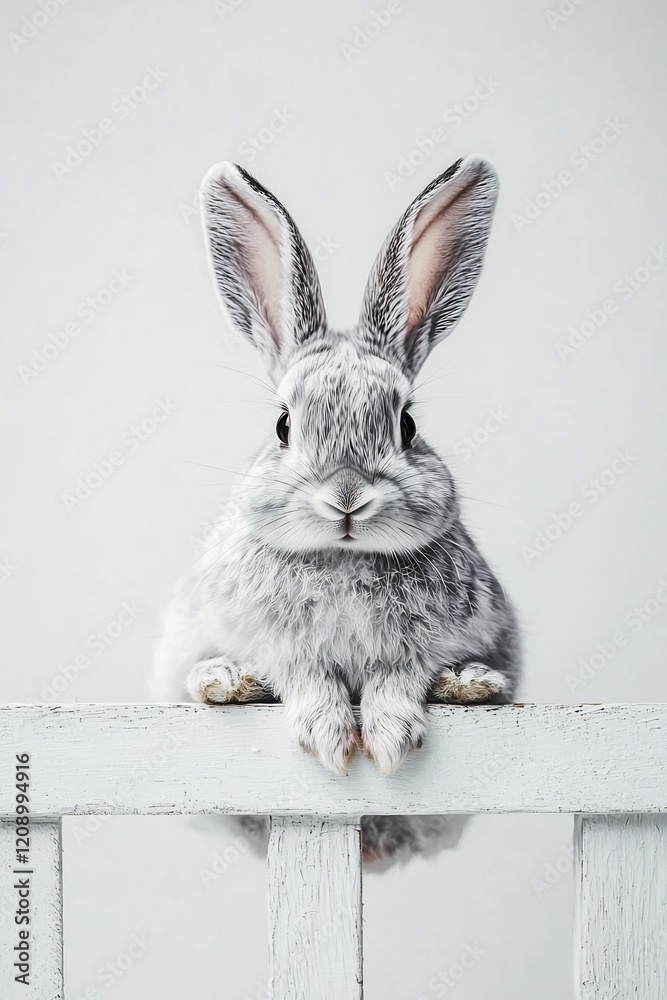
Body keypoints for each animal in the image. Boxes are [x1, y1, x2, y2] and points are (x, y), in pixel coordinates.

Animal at [151, 155, 520, 864]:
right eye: (282, 425)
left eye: (407, 424)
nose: (346, 499)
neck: (343, 560)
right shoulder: (281, 647)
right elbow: (307, 677)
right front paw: (329, 734)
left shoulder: (419, 650)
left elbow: (397, 677)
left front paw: (390, 734)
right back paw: (225, 681)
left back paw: (470, 685)